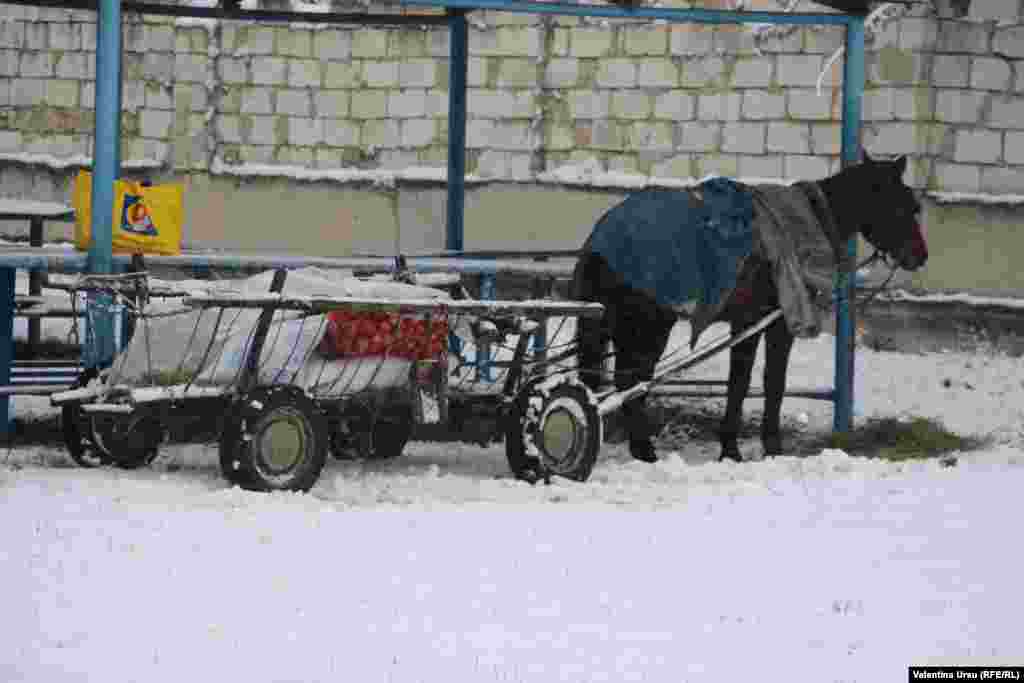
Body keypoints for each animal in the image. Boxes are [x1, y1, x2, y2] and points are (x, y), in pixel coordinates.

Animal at [573, 154, 933, 464]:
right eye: (903, 206)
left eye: (915, 206)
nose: (920, 256)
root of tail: (601, 235)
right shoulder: (760, 322)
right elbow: (750, 382)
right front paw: (739, 448)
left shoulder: (763, 323)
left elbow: (765, 381)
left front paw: (758, 446)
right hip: (648, 322)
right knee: (630, 379)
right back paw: (644, 450)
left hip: (625, 322)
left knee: (628, 379)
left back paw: (638, 448)